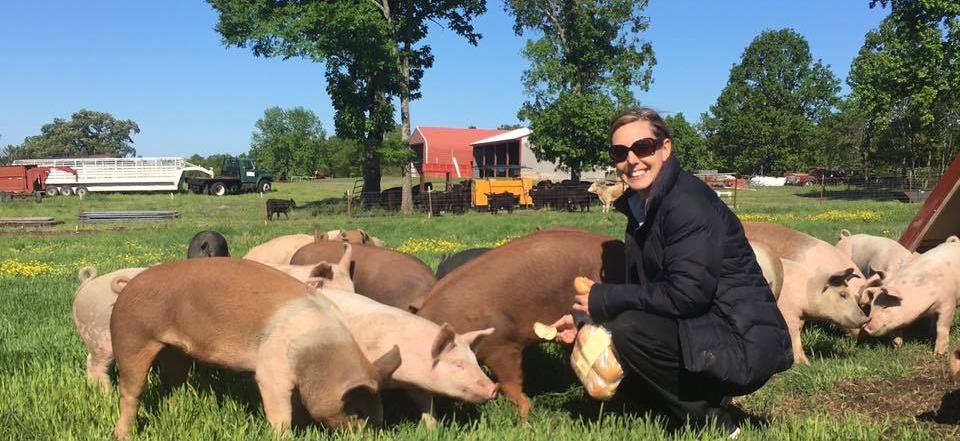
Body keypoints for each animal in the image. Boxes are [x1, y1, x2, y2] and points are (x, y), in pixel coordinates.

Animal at [109, 258, 402, 436]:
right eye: (358, 411)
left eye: (379, 414)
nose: (370, 436)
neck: (316, 351)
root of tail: (127, 287)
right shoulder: (271, 368)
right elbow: (279, 412)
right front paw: (284, 434)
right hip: (130, 336)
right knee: (131, 392)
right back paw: (122, 434)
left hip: (173, 351)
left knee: (172, 383)